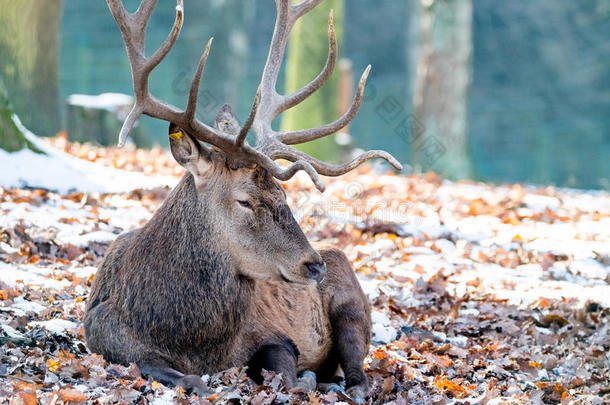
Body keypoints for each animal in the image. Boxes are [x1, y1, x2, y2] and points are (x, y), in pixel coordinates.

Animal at [83, 0, 402, 400]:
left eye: (283, 194)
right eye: (245, 201)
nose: (315, 266)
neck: (186, 338)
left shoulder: (271, 333)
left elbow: (285, 373)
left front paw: (305, 377)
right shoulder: (106, 338)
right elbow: (180, 377)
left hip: (353, 306)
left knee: (360, 374)